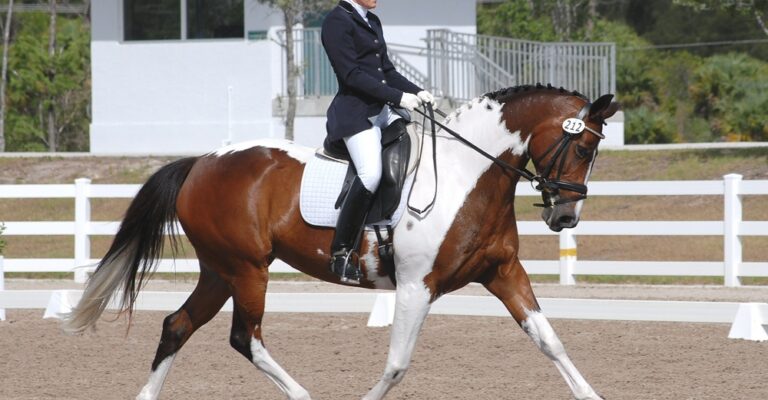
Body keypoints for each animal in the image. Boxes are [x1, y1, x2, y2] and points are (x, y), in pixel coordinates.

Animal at [63, 84, 619, 400]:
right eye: (582, 148)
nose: (565, 216)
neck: (469, 174)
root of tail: (200, 162)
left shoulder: (502, 272)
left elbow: (550, 340)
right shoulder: (416, 286)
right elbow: (397, 365)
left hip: (220, 271)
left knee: (177, 326)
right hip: (247, 270)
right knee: (246, 338)